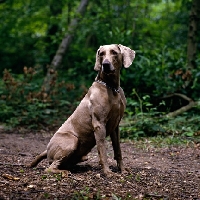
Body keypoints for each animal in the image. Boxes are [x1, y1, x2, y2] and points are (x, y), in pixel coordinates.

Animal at [29, 44, 136, 177]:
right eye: (101, 54)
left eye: (114, 52)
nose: (105, 64)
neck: (112, 88)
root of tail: (47, 149)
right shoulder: (99, 124)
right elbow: (103, 151)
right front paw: (107, 172)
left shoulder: (115, 126)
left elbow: (118, 150)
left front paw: (123, 170)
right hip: (72, 140)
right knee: (49, 168)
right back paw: (64, 172)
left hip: (82, 155)